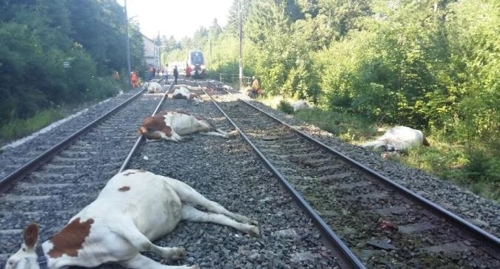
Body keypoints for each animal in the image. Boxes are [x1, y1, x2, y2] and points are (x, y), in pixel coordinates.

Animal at [5, 169, 260, 266]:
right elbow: (148, 260)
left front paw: (175, 252)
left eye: (11, 262)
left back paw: (246, 220)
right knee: (213, 218)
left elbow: (144, 242)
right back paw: (247, 228)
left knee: (215, 205)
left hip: (182, 187)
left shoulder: (119, 221)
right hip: (186, 211)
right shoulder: (128, 258)